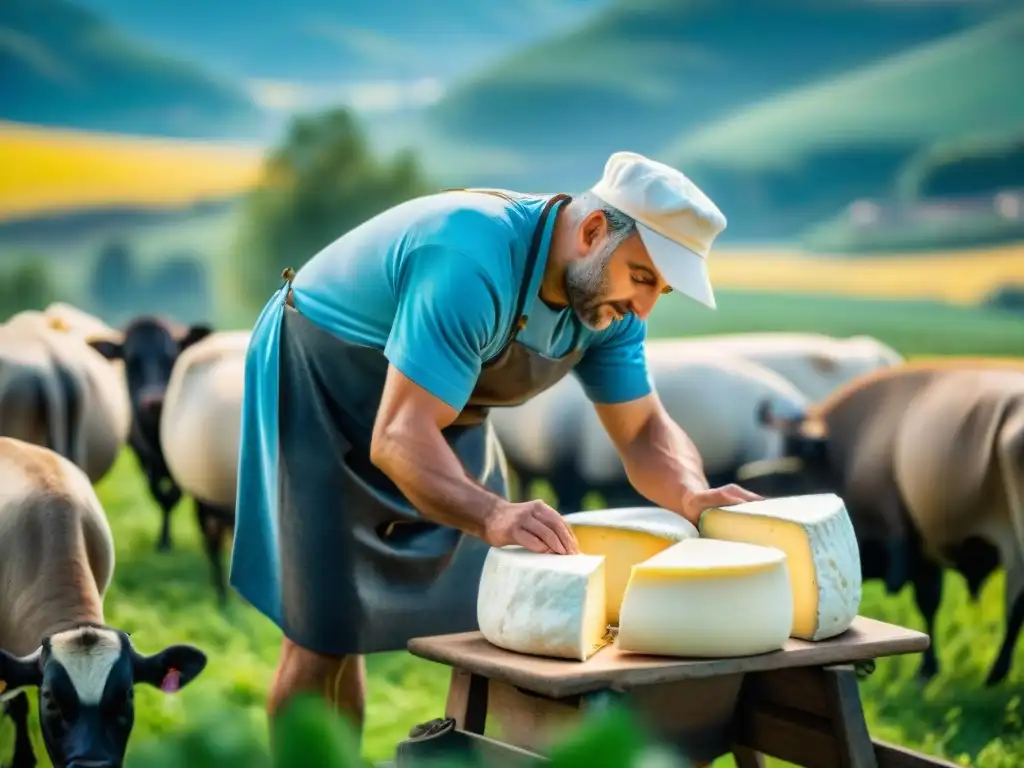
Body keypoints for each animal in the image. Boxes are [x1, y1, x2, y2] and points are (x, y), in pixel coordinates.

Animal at [753, 360, 1024, 684]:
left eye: (794, 464)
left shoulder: (907, 540)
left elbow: (927, 601)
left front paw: (926, 670)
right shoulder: (920, 545)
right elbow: (930, 602)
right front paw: (928, 669)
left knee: (1016, 603)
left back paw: (996, 674)